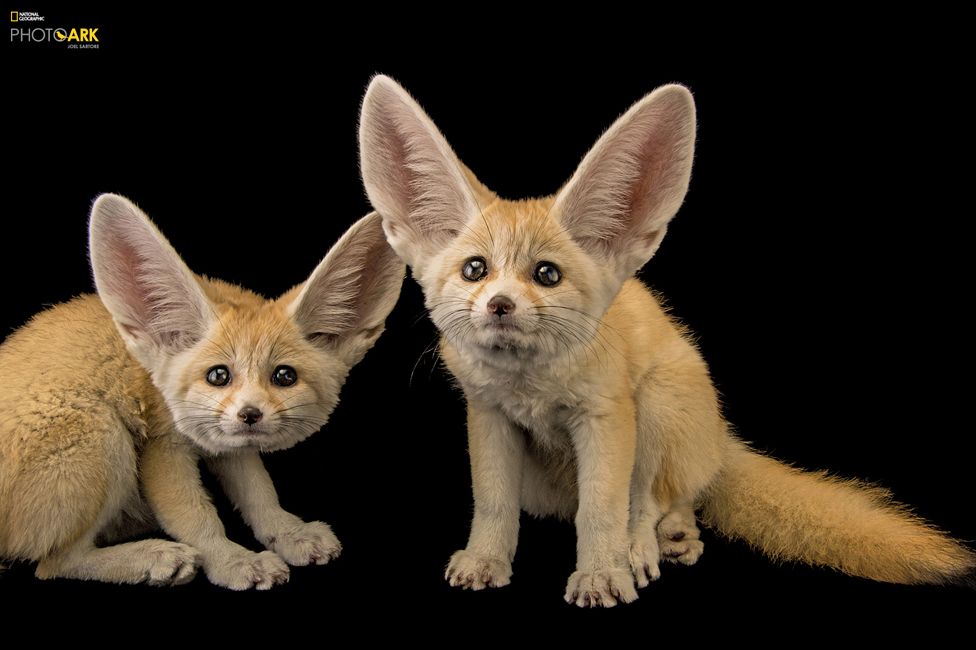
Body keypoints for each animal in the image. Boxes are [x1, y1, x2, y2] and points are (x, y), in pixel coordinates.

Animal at [0, 192, 404, 588]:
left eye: (284, 376)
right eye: (218, 375)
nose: (250, 414)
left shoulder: (229, 444)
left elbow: (259, 492)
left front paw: (289, 533)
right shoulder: (162, 448)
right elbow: (196, 516)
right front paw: (233, 561)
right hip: (102, 431)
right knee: (53, 563)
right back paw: (153, 557)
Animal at [360, 77, 976, 608]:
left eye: (546, 275)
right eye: (475, 270)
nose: (500, 305)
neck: (530, 386)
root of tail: (721, 437)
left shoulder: (606, 416)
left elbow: (603, 508)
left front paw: (602, 573)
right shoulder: (488, 414)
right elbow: (493, 502)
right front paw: (486, 561)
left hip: (655, 405)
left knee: (658, 499)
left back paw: (653, 544)